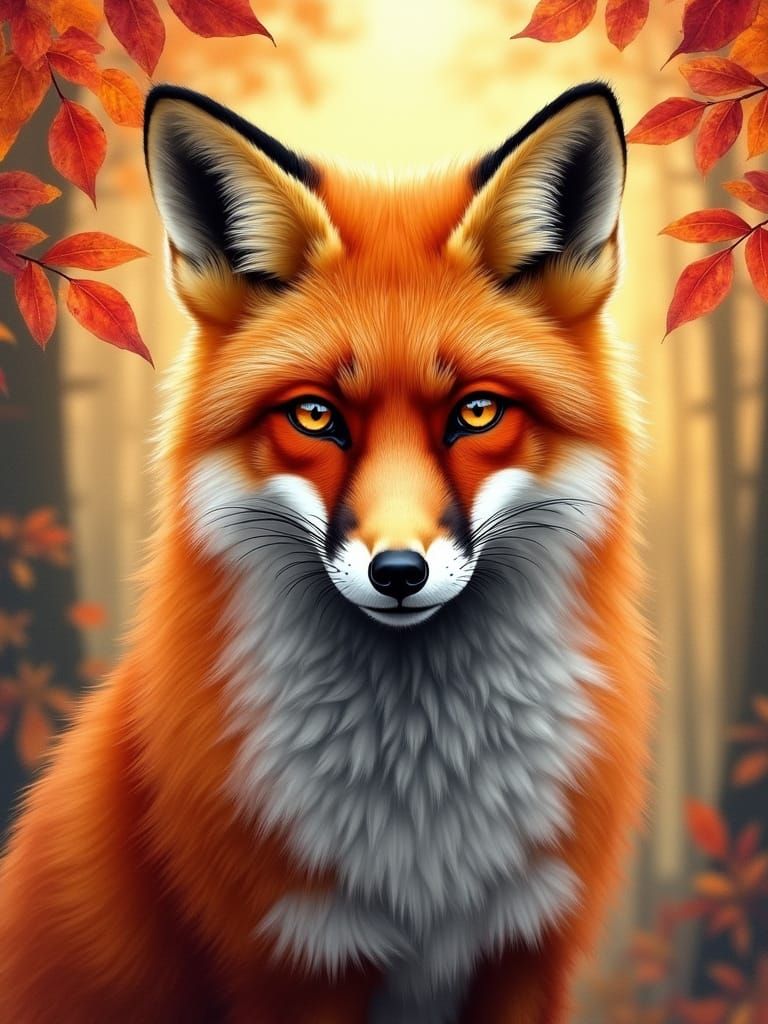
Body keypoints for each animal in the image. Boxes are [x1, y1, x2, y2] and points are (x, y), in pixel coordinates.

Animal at [0, 81, 653, 1023]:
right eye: (315, 416)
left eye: (477, 413)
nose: (398, 573)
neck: (423, 815)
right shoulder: (289, 958)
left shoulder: (528, 948)